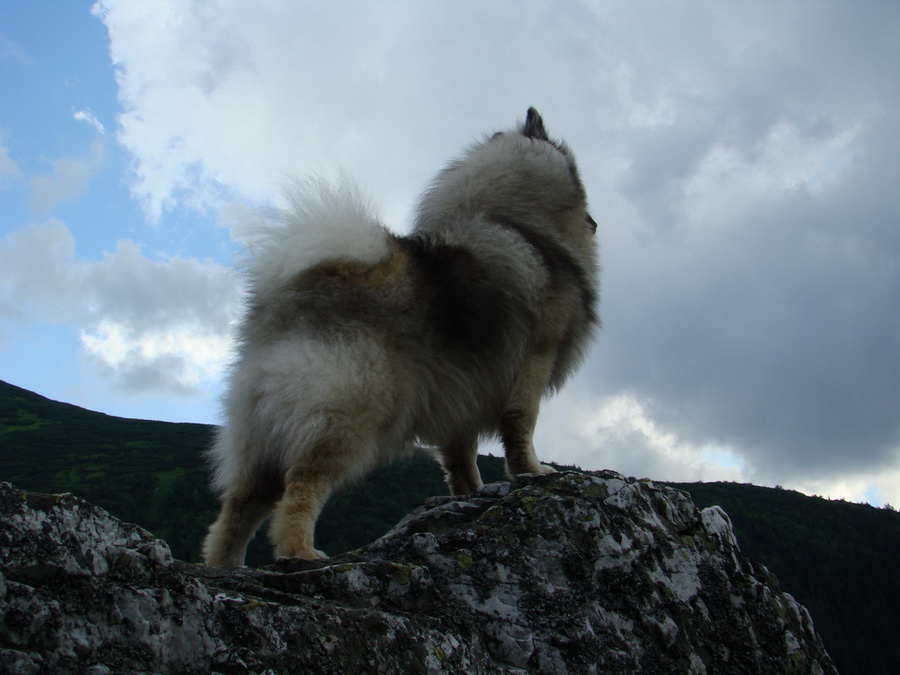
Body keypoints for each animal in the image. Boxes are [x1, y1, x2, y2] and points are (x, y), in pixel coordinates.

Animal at [202, 109, 596, 564]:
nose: (594, 222)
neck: (514, 221)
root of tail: (289, 300)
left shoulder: (461, 395)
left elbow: (461, 457)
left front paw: (472, 493)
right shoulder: (536, 357)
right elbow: (520, 426)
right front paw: (533, 473)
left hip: (261, 434)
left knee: (237, 508)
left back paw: (226, 564)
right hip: (345, 414)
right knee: (300, 486)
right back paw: (300, 551)